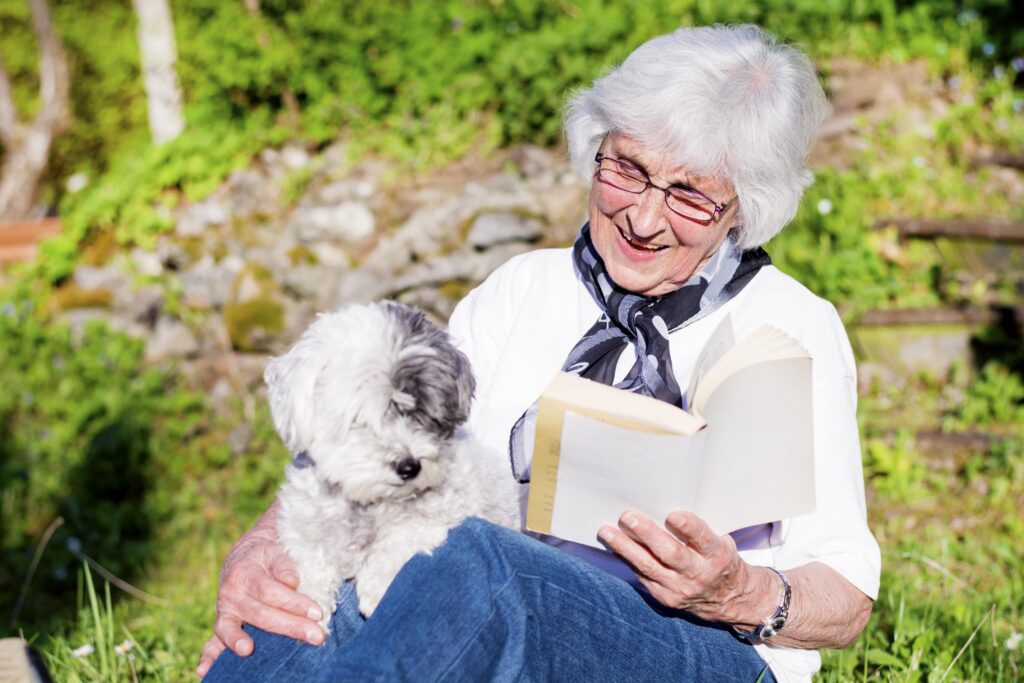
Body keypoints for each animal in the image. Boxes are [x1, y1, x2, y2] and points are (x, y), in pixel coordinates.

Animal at [264, 301, 520, 626]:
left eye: (422, 413)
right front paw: (310, 605)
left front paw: (378, 589)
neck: (370, 502)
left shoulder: (447, 511)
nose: (409, 467)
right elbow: (310, 560)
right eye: (360, 417)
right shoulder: (303, 521)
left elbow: (400, 538)